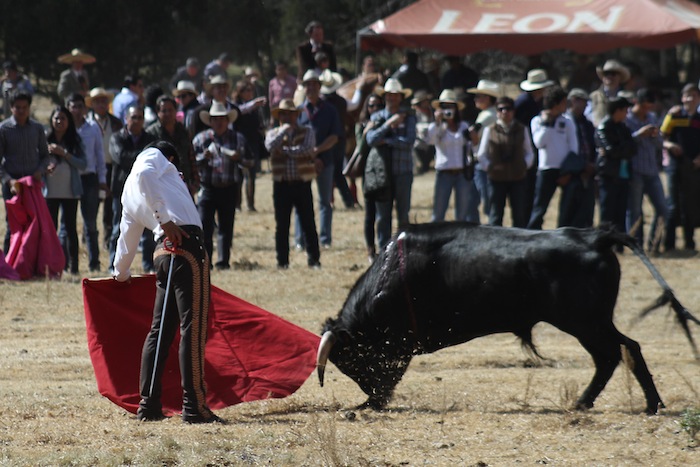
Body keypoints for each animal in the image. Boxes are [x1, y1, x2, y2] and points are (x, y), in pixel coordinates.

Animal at [318, 225, 700, 414]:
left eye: (351, 359)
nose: (374, 401)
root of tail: (595, 236)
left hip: (585, 322)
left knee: (621, 350)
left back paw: (648, 404)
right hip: (588, 323)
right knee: (612, 355)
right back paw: (589, 402)